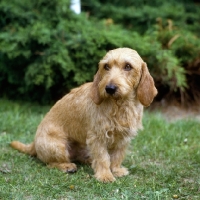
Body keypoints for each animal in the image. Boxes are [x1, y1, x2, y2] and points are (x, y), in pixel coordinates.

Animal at [10, 47, 158, 182]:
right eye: (106, 66)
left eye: (128, 66)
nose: (109, 88)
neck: (120, 105)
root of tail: (34, 143)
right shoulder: (97, 137)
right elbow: (103, 158)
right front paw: (105, 175)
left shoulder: (123, 138)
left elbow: (117, 156)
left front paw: (116, 170)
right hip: (59, 147)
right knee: (49, 163)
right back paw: (66, 166)